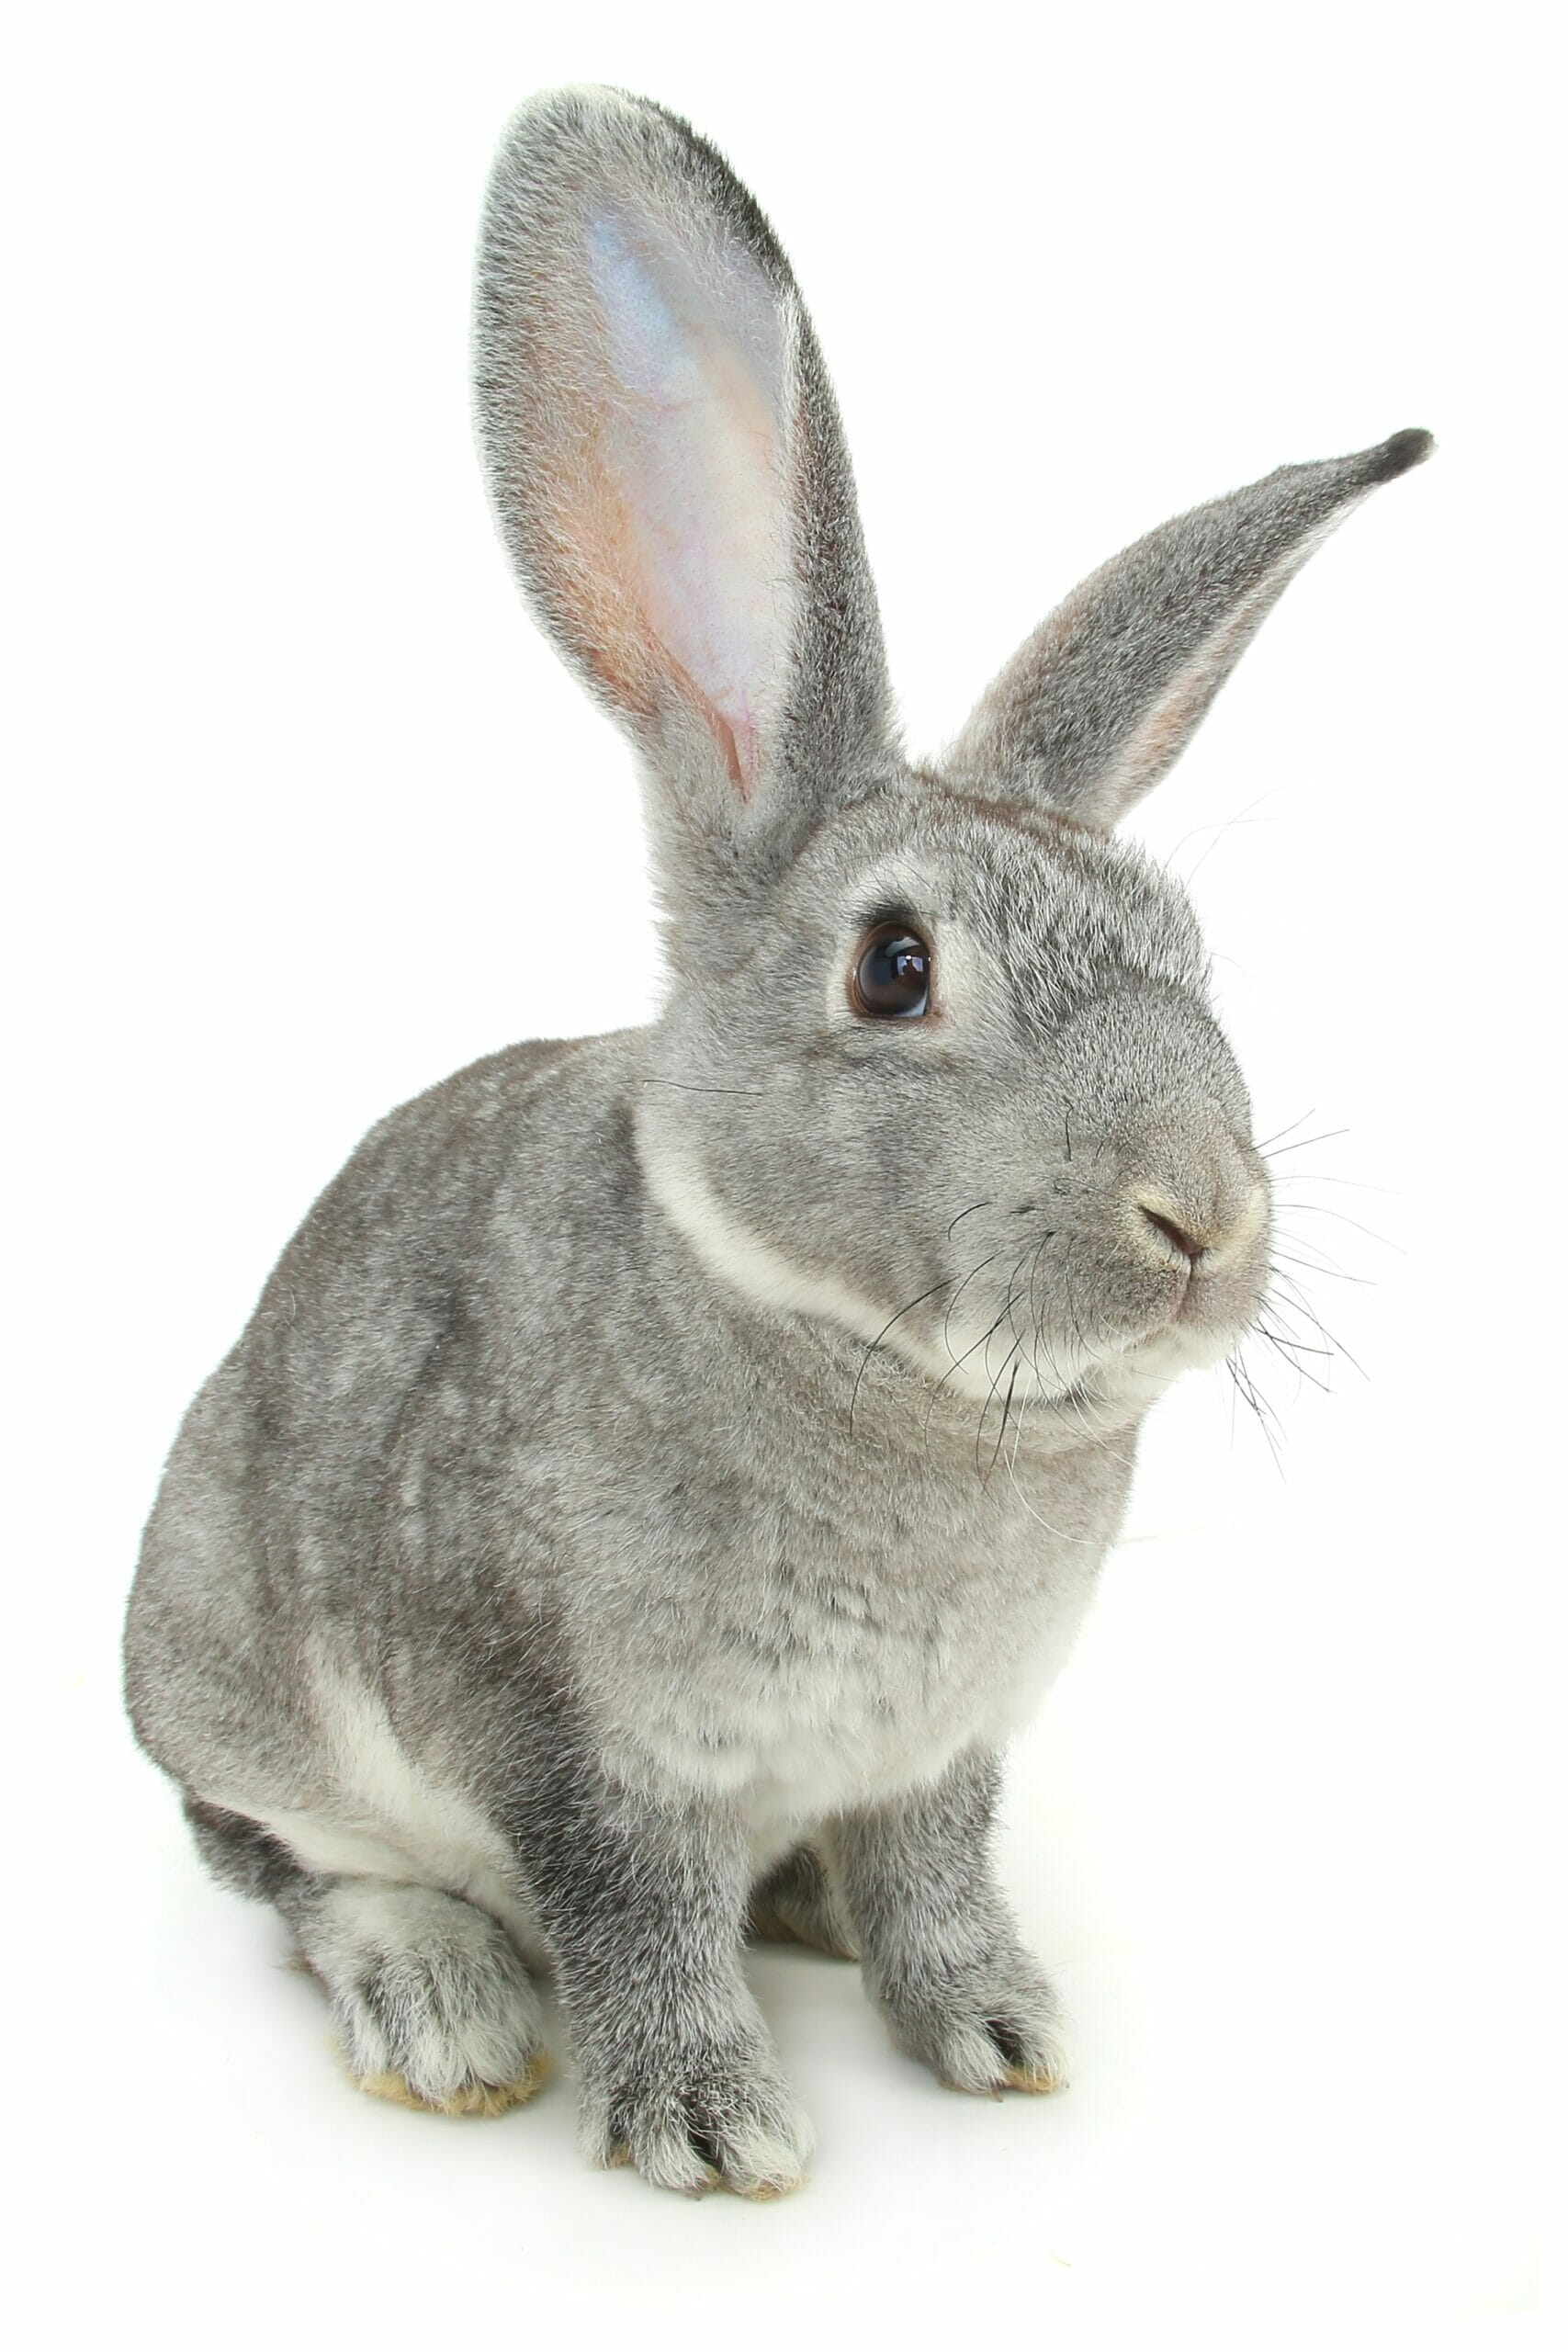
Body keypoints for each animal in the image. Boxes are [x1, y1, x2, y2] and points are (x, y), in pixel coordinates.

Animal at [122, 83, 1429, 2191]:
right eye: (894, 968)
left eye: (1187, 952)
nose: (1202, 1215)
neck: (879, 1380)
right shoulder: (573, 1741)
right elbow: (632, 1912)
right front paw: (714, 2127)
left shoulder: (942, 1749)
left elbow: (932, 1878)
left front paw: (998, 2029)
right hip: (226, 1669)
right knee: (294, 1868)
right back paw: (442, 1999)